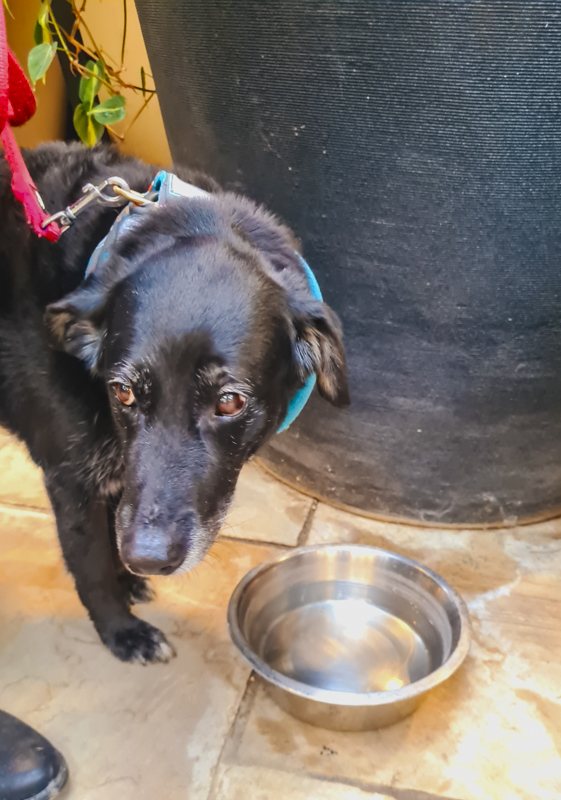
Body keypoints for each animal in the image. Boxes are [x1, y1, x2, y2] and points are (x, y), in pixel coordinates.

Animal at [0, 142, 348, 664]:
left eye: (229, 402)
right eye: (122, 391)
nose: (147, 558)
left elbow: (114, 527)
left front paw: (127, 581)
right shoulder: (71, 480)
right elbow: (91, 565)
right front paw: (122, 630)